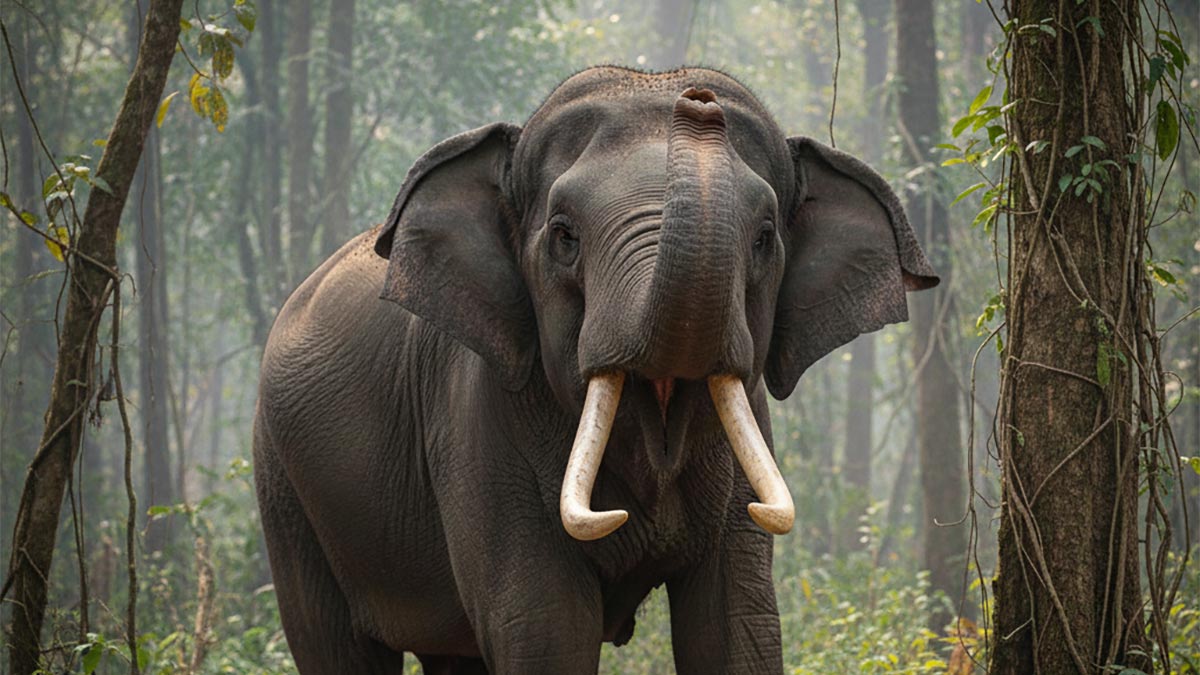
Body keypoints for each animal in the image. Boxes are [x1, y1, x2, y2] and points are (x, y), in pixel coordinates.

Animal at [253, 65, 937, 675]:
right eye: (564, 236)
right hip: (286, 489)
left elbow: (738, 630)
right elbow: (544, 628)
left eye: (765, 238)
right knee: (336, 646)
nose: (698, 100)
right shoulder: (474, 419)